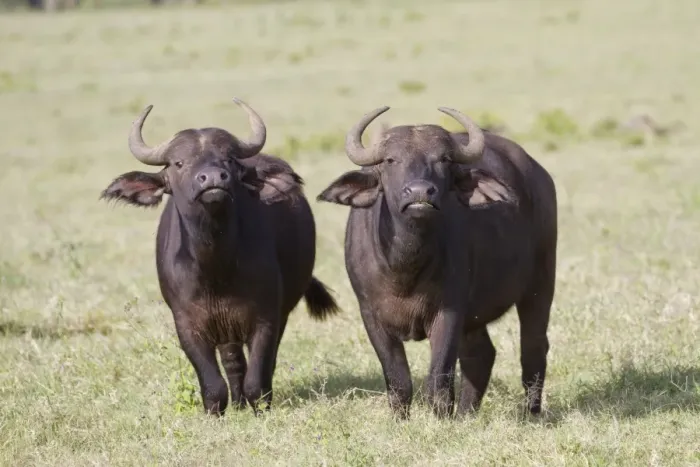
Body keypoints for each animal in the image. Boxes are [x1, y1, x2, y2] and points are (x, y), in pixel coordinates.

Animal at [101, 98, 340, 416]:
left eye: (228, 159)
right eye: (179, 162)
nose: (213, 178)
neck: (215, 268)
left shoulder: (266, 317)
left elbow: (258, 375)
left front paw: (260, 407)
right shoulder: (187, 324)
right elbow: (213, 384)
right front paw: (219, 410)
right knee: (232, 361)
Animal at [317, 106, 557, 418]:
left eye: (443, 159)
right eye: (390, 160)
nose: (420, 192)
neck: (404, 267)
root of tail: (538, 176)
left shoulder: (449, 311)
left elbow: (439, 379)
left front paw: (441, 418)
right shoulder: (371, 315)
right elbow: (398, 380)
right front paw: (401, 420)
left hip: (539, 286)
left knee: (533, 348)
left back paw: (531, 413)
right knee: (480, 355)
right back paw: (467, 414)